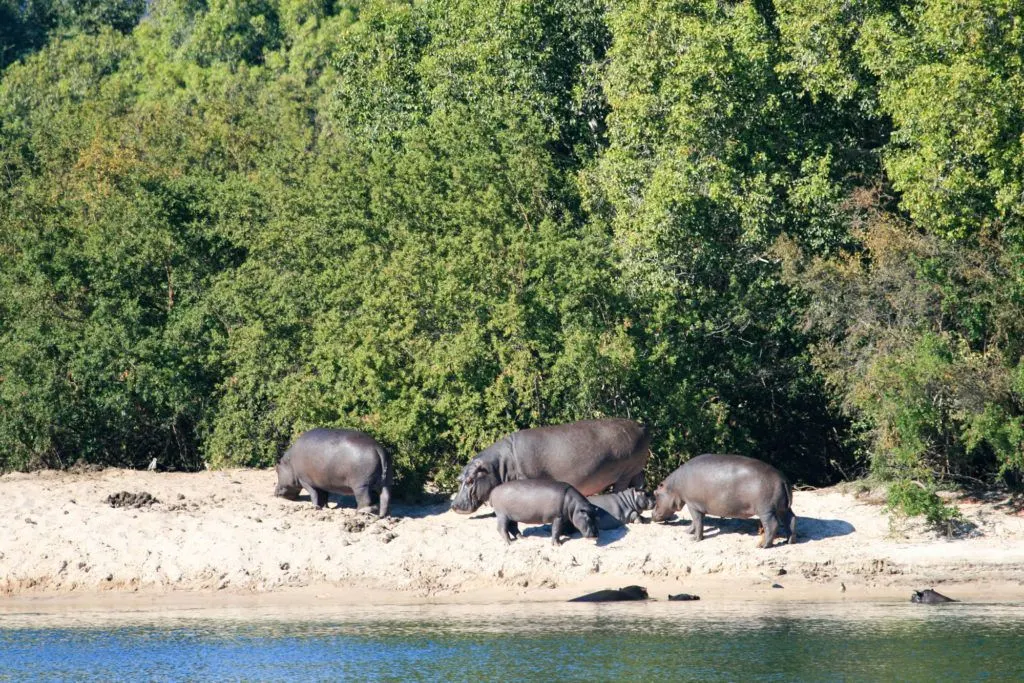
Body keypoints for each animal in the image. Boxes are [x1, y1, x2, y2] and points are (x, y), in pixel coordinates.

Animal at [451, 419, 650, 514]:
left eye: (470, 480)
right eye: (459, 479)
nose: (454, 505)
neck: (498, 466)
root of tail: (641, 426)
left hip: (625, 472)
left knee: (622, 487)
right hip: (636, 469)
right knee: (640, 481)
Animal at [651, 454, 796, 548]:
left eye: (656, 493)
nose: (652, 514)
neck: (674, 487)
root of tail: (783, 480)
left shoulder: (692, 504)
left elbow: (697, 521)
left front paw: (695, 539)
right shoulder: (698, 506)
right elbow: (695, 522)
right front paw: (687, 532)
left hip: (766, 510)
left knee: (772, 525)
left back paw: (762, 546)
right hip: (783, 508)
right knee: (791, 519)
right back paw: (789, 541)